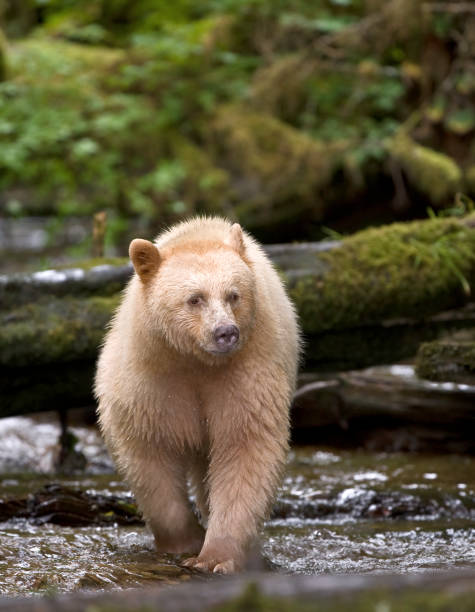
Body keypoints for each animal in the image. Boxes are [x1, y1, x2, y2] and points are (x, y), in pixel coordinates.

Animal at [95, 216, 300, 572]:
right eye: (194, 298)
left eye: (233, 295)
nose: (225, 333)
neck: (195, 361)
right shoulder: (151, 381)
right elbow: (148, 451)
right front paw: (184, 541)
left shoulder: (245, 372)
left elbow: (245, 444)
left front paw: (214, 557)